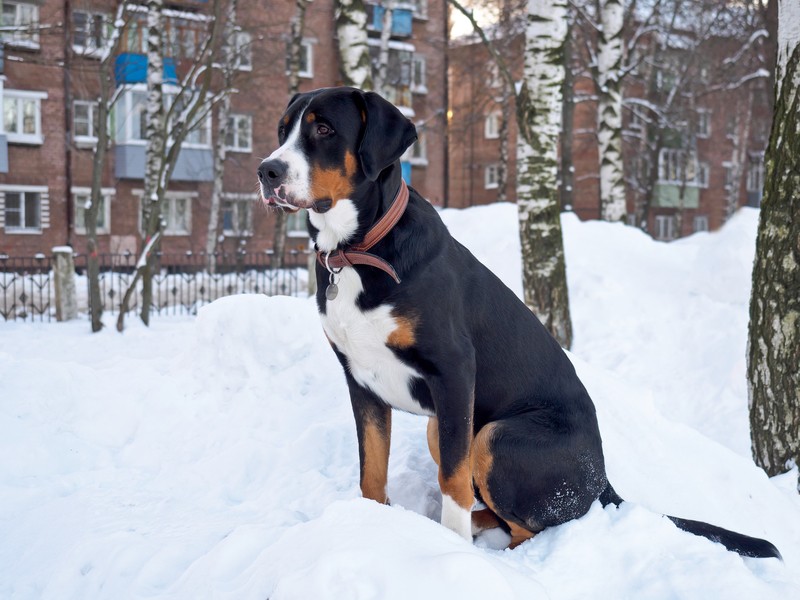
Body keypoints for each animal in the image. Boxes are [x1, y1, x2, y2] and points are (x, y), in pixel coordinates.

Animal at [258, 86, 780, 560]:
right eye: (282, 130)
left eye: (324, 130)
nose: (267, 171)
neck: (357, 252)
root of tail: (603, 480)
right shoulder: (361, 380)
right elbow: (372, 470)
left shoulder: (454, 371)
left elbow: (452, 481)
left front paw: (449, 550)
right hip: (450, 426)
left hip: (493, 434)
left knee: (531, 525)